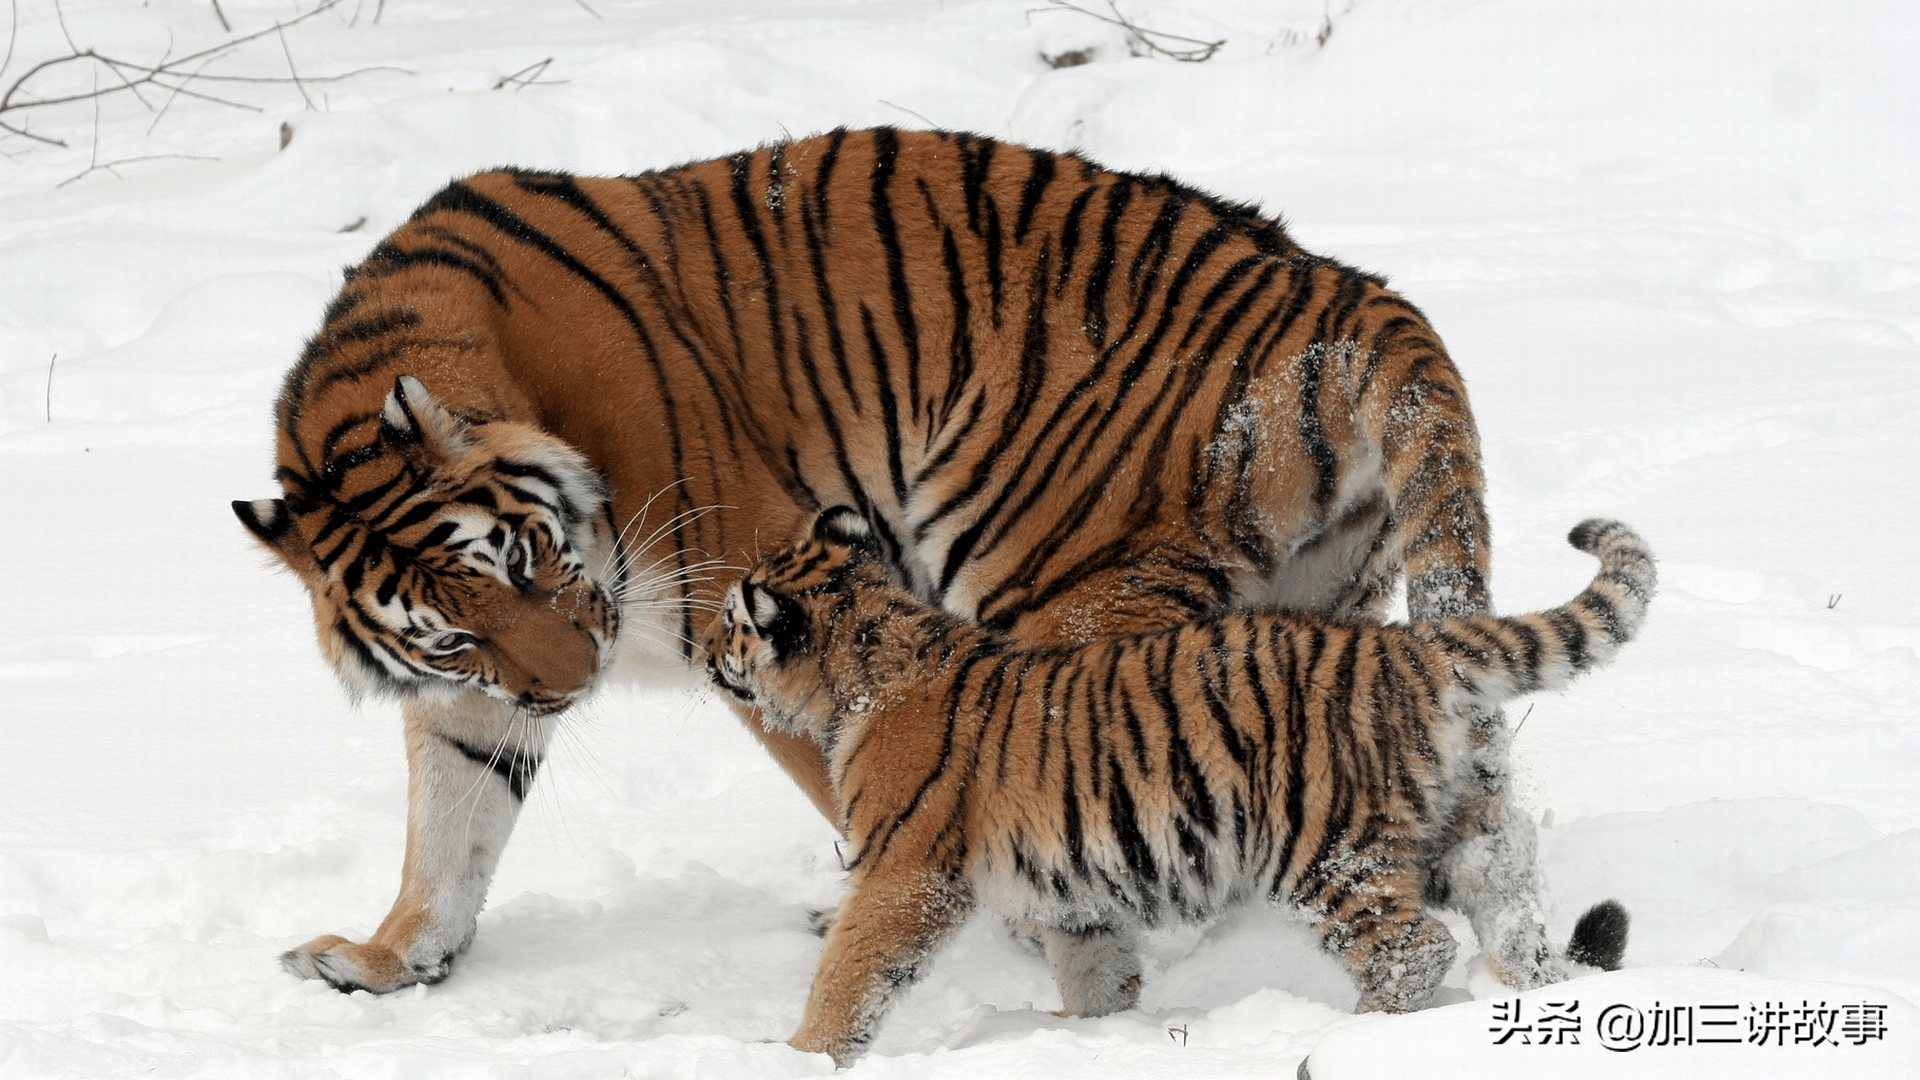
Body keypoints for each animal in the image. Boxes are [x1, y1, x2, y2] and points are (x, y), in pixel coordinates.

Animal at [232, 125, 1512, 999]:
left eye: (529, 559)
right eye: (453, 631)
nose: (573, 685)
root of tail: (1342, 289)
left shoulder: (755, 593)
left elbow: (853, 775)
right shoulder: (476, 693)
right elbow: (450, 821)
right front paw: (389, 959)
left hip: (1057, 585)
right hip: (1315, 602)